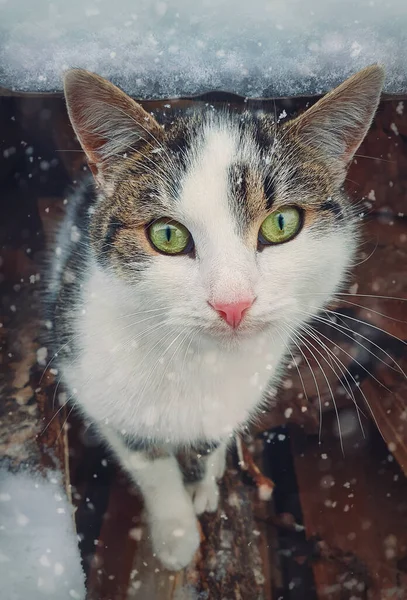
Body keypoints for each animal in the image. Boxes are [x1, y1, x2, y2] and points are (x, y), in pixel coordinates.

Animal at [47, 63, 386, 568]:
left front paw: (205, 482)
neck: (199, 363)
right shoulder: (91, 377)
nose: (233, 302)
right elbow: (150, 465)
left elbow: (210, 441)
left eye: (281, 223)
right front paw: (176, 534)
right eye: (167, 234)